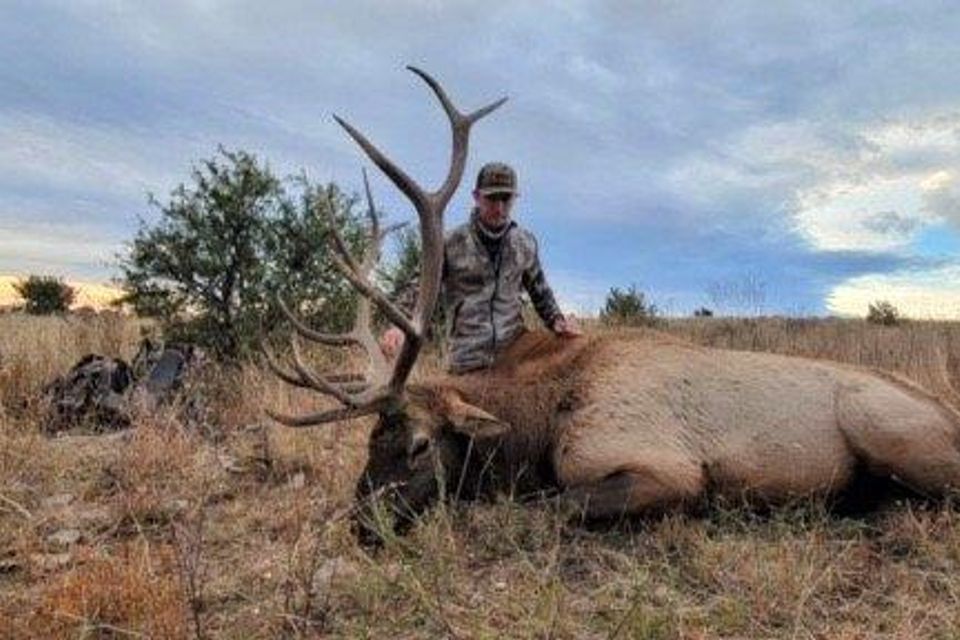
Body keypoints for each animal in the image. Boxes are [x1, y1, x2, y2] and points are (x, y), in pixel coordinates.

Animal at [264, 67, 960, 545]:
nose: (362, 526)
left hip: (886, 428)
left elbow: (542, 508)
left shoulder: (664, 469)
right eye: (367, 444)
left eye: (417, 446)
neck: (541, 422)